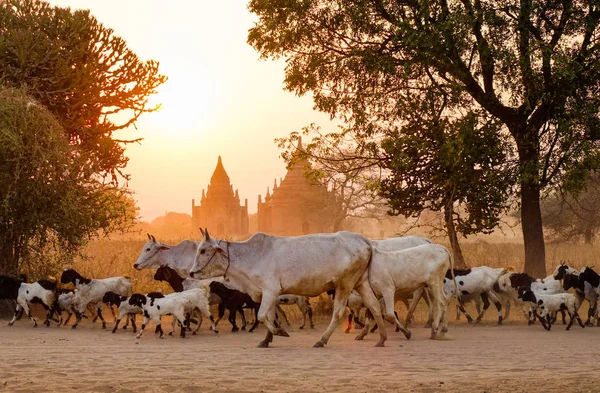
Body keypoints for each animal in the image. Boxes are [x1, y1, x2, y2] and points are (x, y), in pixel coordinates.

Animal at [189, 228, 390, 348]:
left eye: (203, 250)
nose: (191, 272)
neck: (251, 256)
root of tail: (363, 239)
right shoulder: (268, 294)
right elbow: (269, 316)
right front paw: (266, 340)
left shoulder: (270, 291)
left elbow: (262, 316)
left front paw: (279, 331)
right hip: (360, 283)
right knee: (374, 306)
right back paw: (381, 338)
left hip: (345, 284)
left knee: (339, 312)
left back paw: (322, 340)